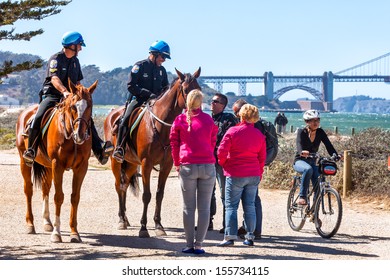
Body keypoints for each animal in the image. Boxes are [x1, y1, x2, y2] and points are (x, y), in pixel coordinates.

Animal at [15, 80, 98, 243]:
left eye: (90, 106)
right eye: (73, 106)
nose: (80, 135)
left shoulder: (81, 167)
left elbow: (75, 197)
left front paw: (74, 233)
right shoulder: (57, 165)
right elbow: (59, 197)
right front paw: (57, 233)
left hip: (47, 166)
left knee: (45, 188)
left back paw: (47, 222)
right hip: (24, 160)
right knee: (28, 190)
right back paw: (30, 224)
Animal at [103, 67, 201, 236]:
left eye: (199, 89)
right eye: (186, 90)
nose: (197, 110)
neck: (160, 126)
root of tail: (112, 114)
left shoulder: (166, 165)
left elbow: (159, 195)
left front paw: (158, 225)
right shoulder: (146, 164)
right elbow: (146, 195)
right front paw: (143, 227)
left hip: (130, 164)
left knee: (124, 185)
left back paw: (126, 219)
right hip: (116, 161)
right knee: (118, 186)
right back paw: (121, 219)